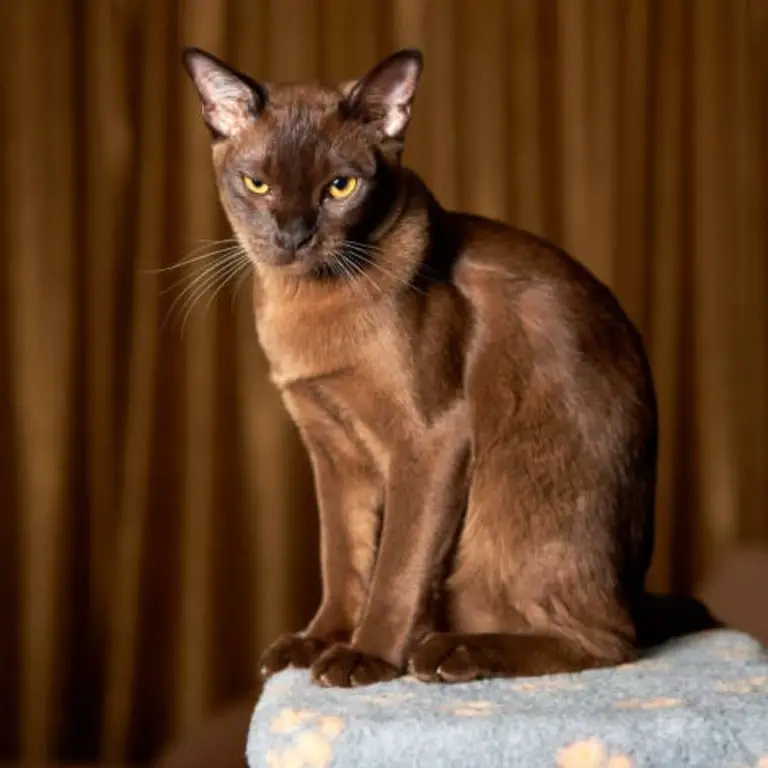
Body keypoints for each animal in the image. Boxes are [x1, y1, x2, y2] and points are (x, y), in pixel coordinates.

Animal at [183, 48, 716, 688]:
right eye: (256, 184)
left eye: (340, 187)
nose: (293, 235)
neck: (307, 307)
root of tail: (636, 587)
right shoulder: (332, 450)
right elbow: (341, 560)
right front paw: (316, 643)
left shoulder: (430, 442)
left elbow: (395, 569)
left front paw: (362, 657)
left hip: (507, 504)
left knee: (609, 640)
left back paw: (447, 652)